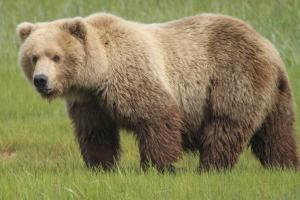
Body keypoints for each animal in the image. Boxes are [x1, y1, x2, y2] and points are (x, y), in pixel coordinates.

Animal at [16, 12, 298, 172]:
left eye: (57, 57)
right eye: (33, 57)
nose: (41, 80)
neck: (98, 74)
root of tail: (269, 46)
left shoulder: (132, 76)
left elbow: (156, 116)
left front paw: (156, 166)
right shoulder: (90, 101)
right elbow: (96, 133)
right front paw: (100, 166)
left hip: (234, 77)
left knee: (226, 125)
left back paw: (210, 167)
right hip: (274, 92)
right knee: (276, 131)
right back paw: (284, 165)